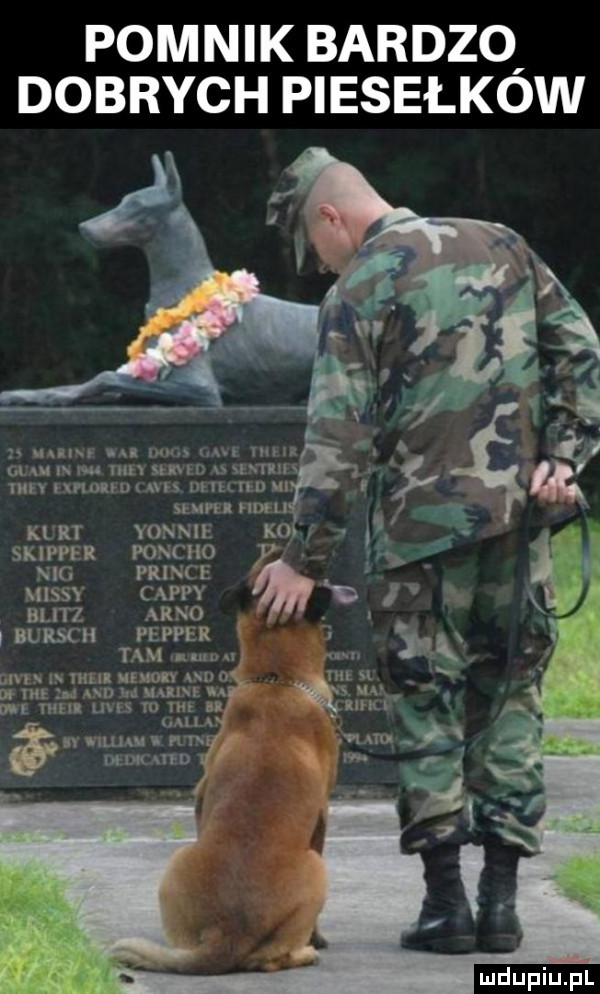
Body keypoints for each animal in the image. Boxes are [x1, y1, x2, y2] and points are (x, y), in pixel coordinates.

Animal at [109, 548, 356, 972]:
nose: (283, 548)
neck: (277, 677)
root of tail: (228, 934)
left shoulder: (200, 794)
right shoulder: (323, 814)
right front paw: (318, 939)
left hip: (178, 859)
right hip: (316, 867)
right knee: (274, 958)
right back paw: (305, 951)